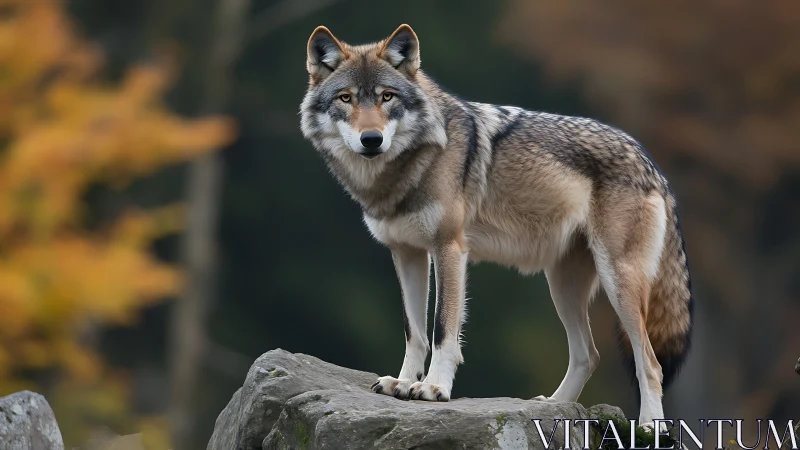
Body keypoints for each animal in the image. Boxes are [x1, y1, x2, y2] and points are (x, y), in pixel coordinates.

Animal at [299, 24, 693, 426]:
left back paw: (649, 427)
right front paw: (404, 382)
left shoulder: (449, 248)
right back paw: (553, 408)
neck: (405, 170)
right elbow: (414, 331)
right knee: (589, 354)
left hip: (618, 283)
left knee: (650, 364)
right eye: (346, 98)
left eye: (387, 96)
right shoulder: (406, 254)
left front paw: (434, 388)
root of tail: (651, 163)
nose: (372, 139)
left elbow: (443, 327)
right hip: (562, 286)